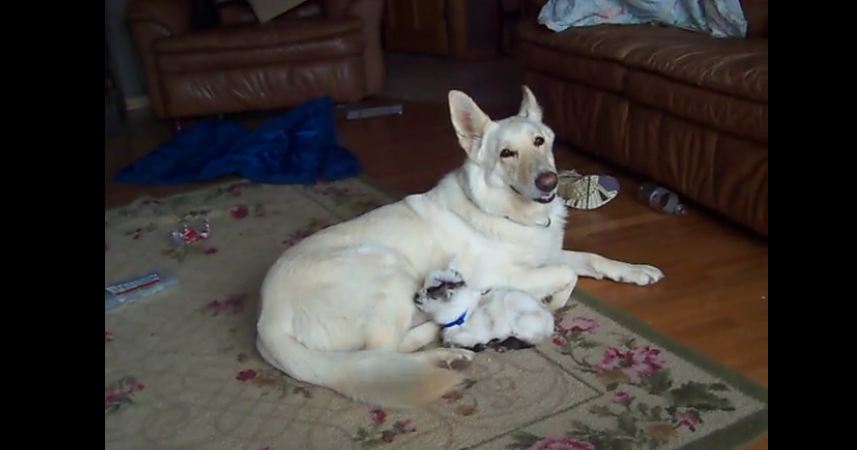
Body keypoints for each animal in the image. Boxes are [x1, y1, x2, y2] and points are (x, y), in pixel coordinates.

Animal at [254, 86, 664, 406]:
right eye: (506, 154)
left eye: (539, 142)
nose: (548, 182)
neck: (507, 211)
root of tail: (266, 319)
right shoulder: (502, 275)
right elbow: (566, 273)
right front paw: (557, 300)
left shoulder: (546, 253)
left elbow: (590, 259)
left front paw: (635, 271)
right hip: (389, 269)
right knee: (381, 354)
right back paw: (440, 345)